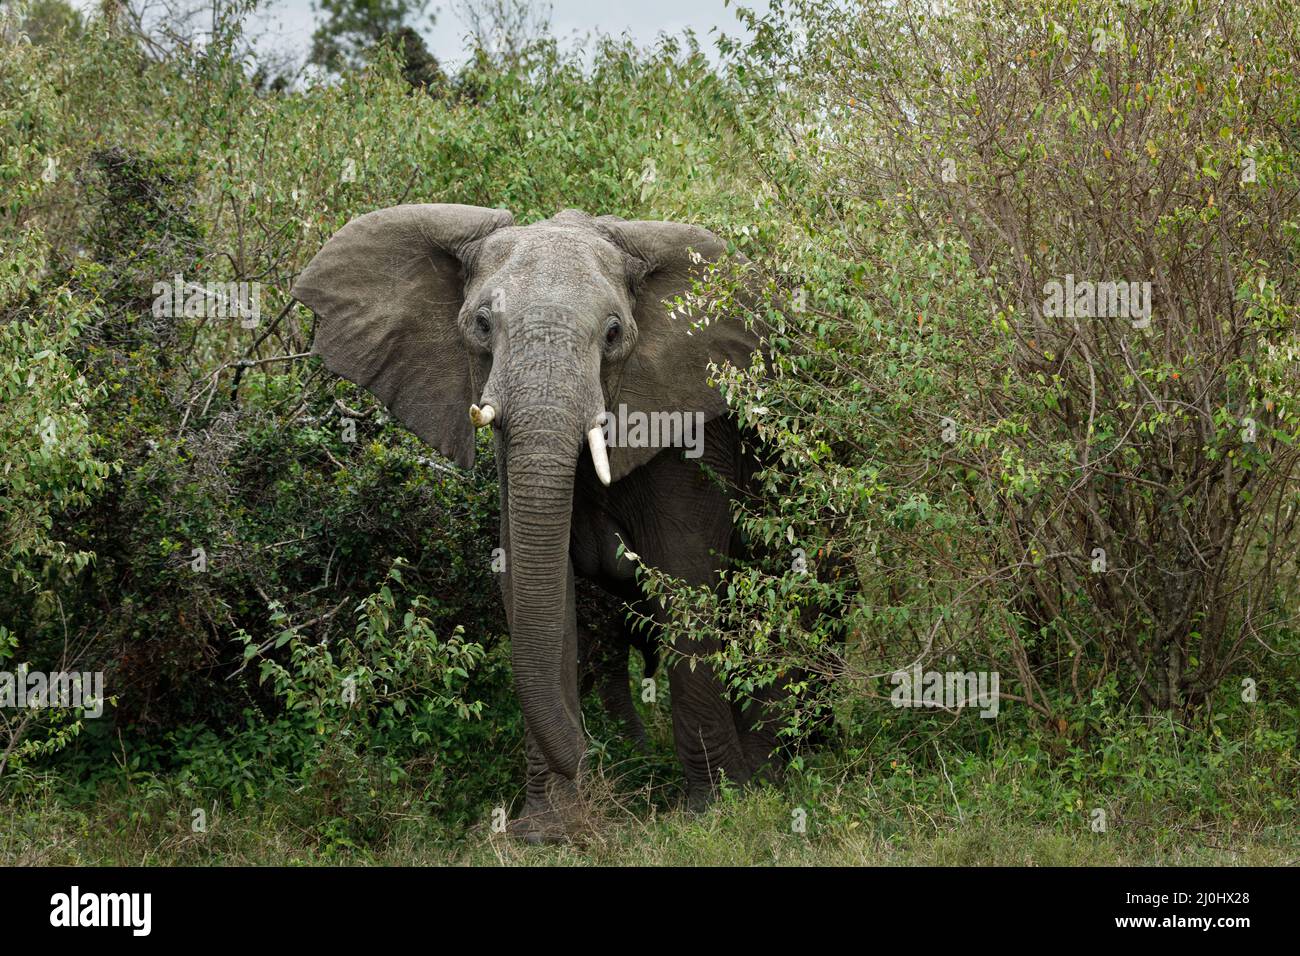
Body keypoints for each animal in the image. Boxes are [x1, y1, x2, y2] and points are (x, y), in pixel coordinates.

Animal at [295, 205, 774, 842]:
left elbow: (687, 577)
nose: (598, 754)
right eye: (481, 324)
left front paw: (717, 810)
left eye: (614, 335)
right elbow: (535, 587)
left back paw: (774, 768)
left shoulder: (690, 429)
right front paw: (544, 831)